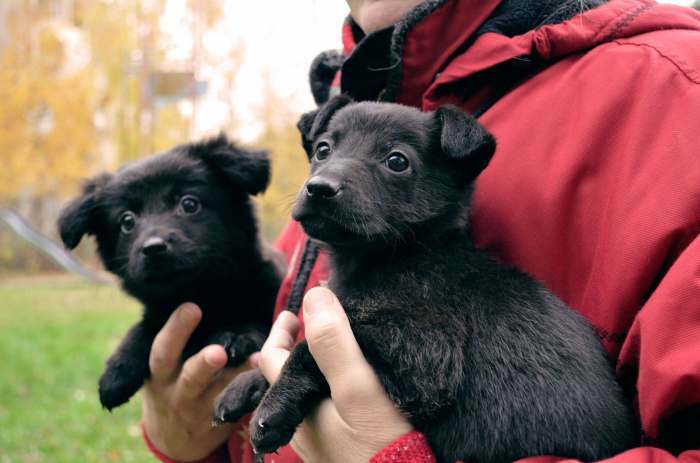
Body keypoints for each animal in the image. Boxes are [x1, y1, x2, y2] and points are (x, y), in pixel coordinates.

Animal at [57, 136, 282, 412]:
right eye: (127, 221)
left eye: (189, 204)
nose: (153, 248)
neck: (201, 296)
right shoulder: (159, 311)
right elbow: (144, 327)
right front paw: (118, 368)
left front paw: (237, 333)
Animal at [228, 96, 636, 462]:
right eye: (323, 149)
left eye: (397, 161)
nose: (320, 187)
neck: (399, 255)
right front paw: (245, 384)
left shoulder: (422, 351)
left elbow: (305, 348)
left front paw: (273, 406)